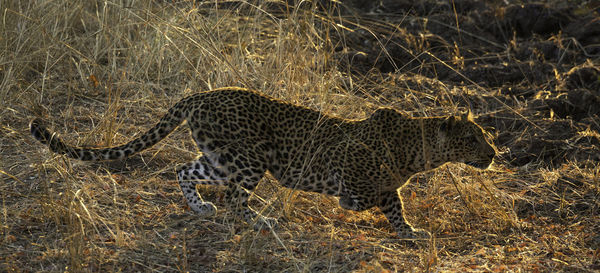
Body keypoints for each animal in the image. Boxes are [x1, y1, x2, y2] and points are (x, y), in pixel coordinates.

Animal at [29, 87, 496, 238]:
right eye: (474, 139)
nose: (493, 155)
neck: (419, 151)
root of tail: (201, 94)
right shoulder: (350, 170)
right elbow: (371, 196)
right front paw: (356, 207)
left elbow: (395, 206)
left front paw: (410, 233)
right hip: (250, 160)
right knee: (237, 200)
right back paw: (261, 222)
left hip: (223, 158)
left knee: (186, 171)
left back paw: (201, 208)